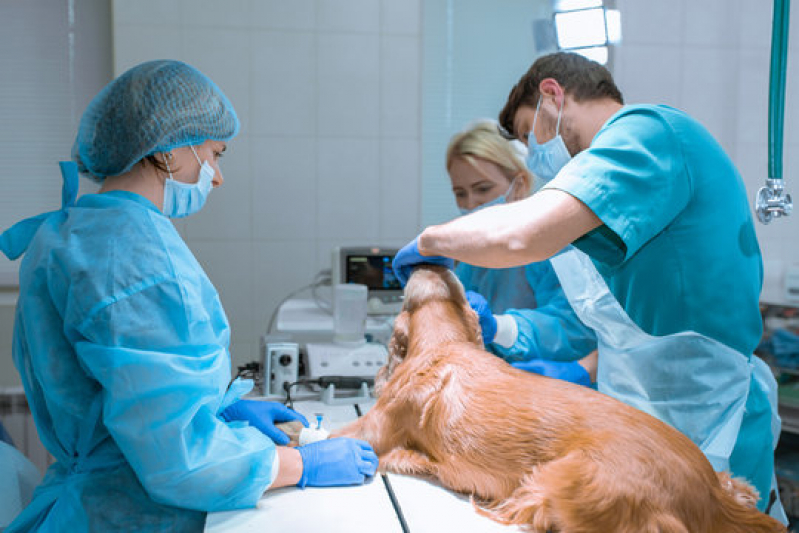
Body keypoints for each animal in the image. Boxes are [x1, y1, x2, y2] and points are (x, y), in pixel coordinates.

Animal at [332, 266, 788, 532]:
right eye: (459, 289)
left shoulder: (373, 426)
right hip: (730, 482)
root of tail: (710, 495)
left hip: (555, 481)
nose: (427, 261)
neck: (446, 343)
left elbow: (336, 436)